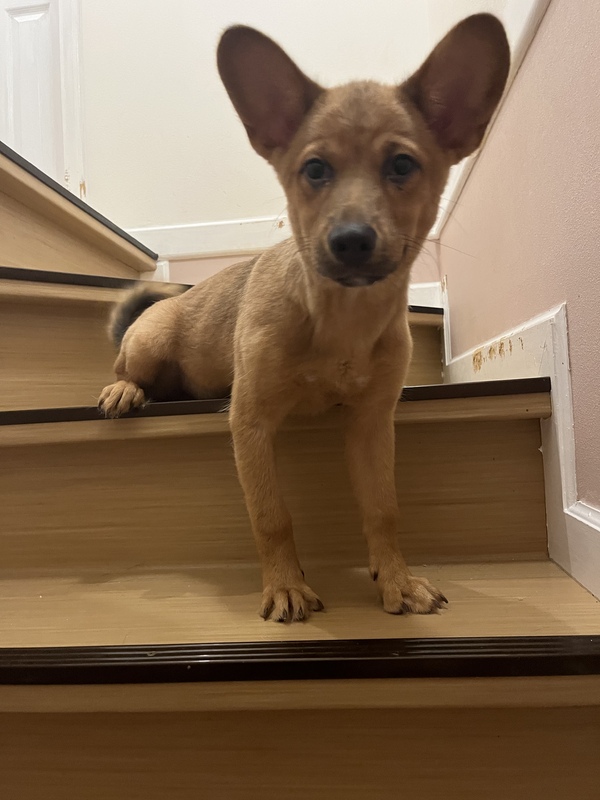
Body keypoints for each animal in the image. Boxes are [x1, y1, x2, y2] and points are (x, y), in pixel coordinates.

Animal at [99, 15, 510, 622]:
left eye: (402, 165)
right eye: (315, 170)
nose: (351, 241)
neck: (341, 321)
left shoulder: (371, 425)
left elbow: (384, 509)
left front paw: (396, 579)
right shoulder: (250, 424)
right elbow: (272, 516)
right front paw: (285, 586)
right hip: (149, 341)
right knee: (125, 367)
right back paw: (126, 389)